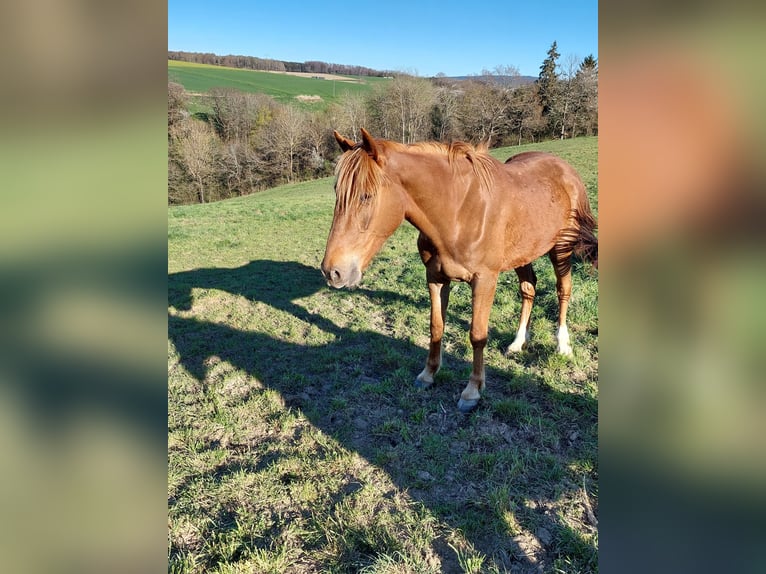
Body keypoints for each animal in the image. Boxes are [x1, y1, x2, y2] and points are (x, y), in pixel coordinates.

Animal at [320, 128, 596, 412]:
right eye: (337, 193)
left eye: (366, 196)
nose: (333, 272)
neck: (458, 213)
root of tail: (566, 170)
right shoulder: (435, 278)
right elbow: (436, 326)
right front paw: (428, 374)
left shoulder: (484, 281)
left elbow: (477, 335)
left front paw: (472, 390)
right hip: (524, 254)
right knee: (528, 289)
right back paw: (518, 342)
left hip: (561, 249)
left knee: (563, 290)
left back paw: (562, 345)